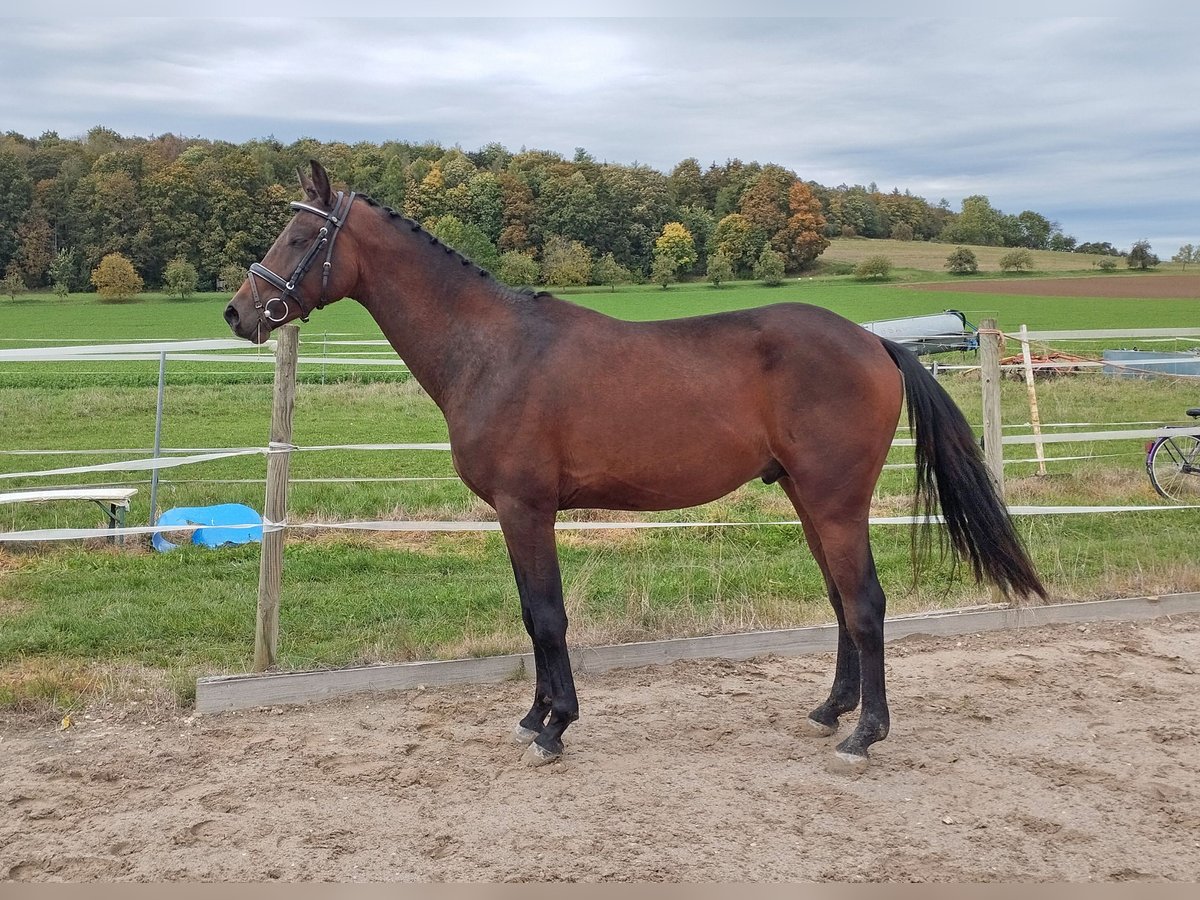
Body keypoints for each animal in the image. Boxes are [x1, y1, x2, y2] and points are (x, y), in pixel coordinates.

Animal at [223, 158, 1041, 772]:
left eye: (301, 234)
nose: (238, 312)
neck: (491, 349)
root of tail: (874, 342)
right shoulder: (515, 515)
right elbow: (531, 617)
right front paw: (534, 717)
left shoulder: (526, 508)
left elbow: (547, 615)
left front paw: (555, 727)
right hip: (810, 502)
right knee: (843, 602)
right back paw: (830, 710)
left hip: (837, 503)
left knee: (865, 603)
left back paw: (864, 735)